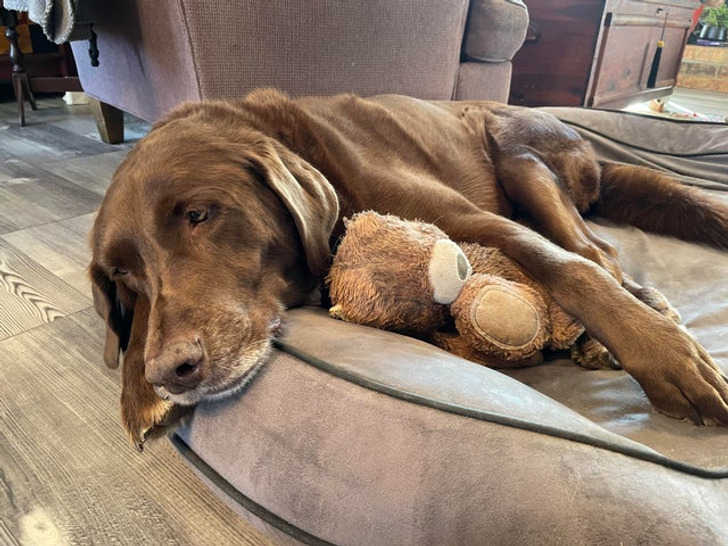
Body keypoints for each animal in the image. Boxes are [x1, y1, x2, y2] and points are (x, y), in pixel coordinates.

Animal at [89, 90, 728, 448]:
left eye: (199, 214)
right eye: (125, 278)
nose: (171, 372)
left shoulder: (477, 219)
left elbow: (566, 268)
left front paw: (668, 356)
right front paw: (138, 389)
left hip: (517, 151)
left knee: (598, 253)